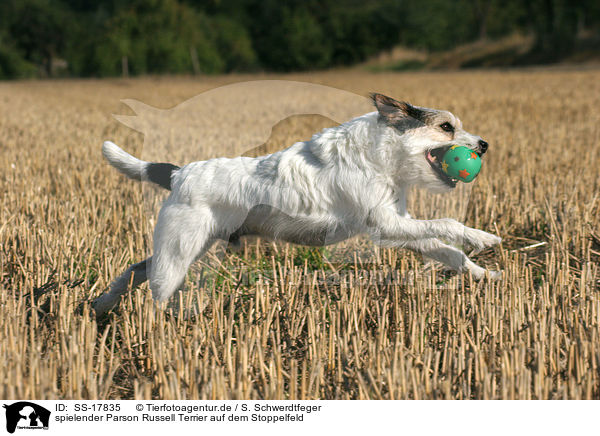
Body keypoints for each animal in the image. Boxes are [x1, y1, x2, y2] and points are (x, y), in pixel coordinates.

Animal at [94, 93, 500, 316]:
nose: (483, 145)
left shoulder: (399, 228)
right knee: (154, 294)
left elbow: (447, 251)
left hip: (182, 248)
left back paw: (103, 303)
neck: (382, 155)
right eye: (446, 127)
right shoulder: (387, 226)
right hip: (178, 255)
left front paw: (483, 274)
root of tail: (180, 174)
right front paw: (482, 237)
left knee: (136, 269)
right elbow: (448, 223)